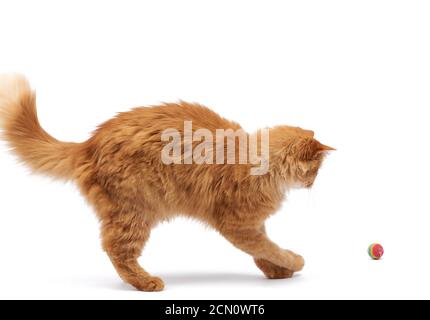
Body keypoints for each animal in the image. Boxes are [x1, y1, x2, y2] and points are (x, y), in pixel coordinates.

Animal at [0, 75, 332, 292]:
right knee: (116, 249)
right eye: (316, 169)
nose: (314, 182)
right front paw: (294, 261)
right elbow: (269, 246)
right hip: (135, 212)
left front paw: (276, 270)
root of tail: (88, 144)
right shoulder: (236, 223)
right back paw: (146, 282)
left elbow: (263, 249)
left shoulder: (250, 223)